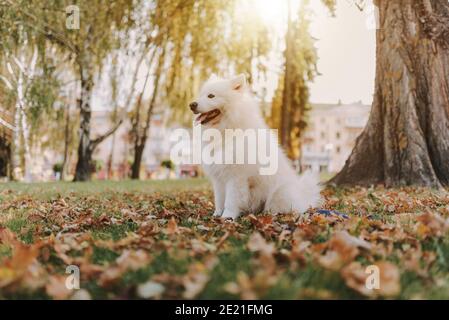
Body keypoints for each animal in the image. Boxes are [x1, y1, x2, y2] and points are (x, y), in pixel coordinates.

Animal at [187, 74, 320, 220]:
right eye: (201, 95)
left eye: (211, 96)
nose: (191, 104)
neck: (226, 130)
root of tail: (304, 198)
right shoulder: (219, 177)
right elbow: (219, 199)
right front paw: (217, 215)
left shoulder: (236, 177)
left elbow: (231, 200)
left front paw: (227, 217)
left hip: (279, 193)